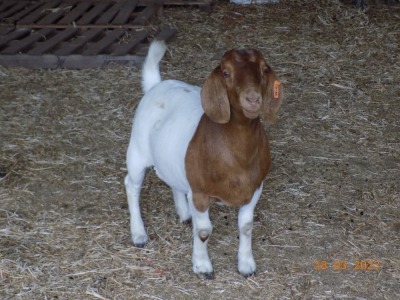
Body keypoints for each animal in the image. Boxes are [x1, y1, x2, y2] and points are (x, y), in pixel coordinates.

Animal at [123, 39, 282, 278]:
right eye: (226, 72)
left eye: (264, 70)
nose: (253, 99)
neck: (238, 158)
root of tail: (156, 85)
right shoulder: (199, 192)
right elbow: (204, 230)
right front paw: (202, 266)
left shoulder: (255, 189)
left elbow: (246, 226)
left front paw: (246, 265)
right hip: (137, 153)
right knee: (132, 185)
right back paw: (139, 234)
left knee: (173, 181)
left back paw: (184, 213)